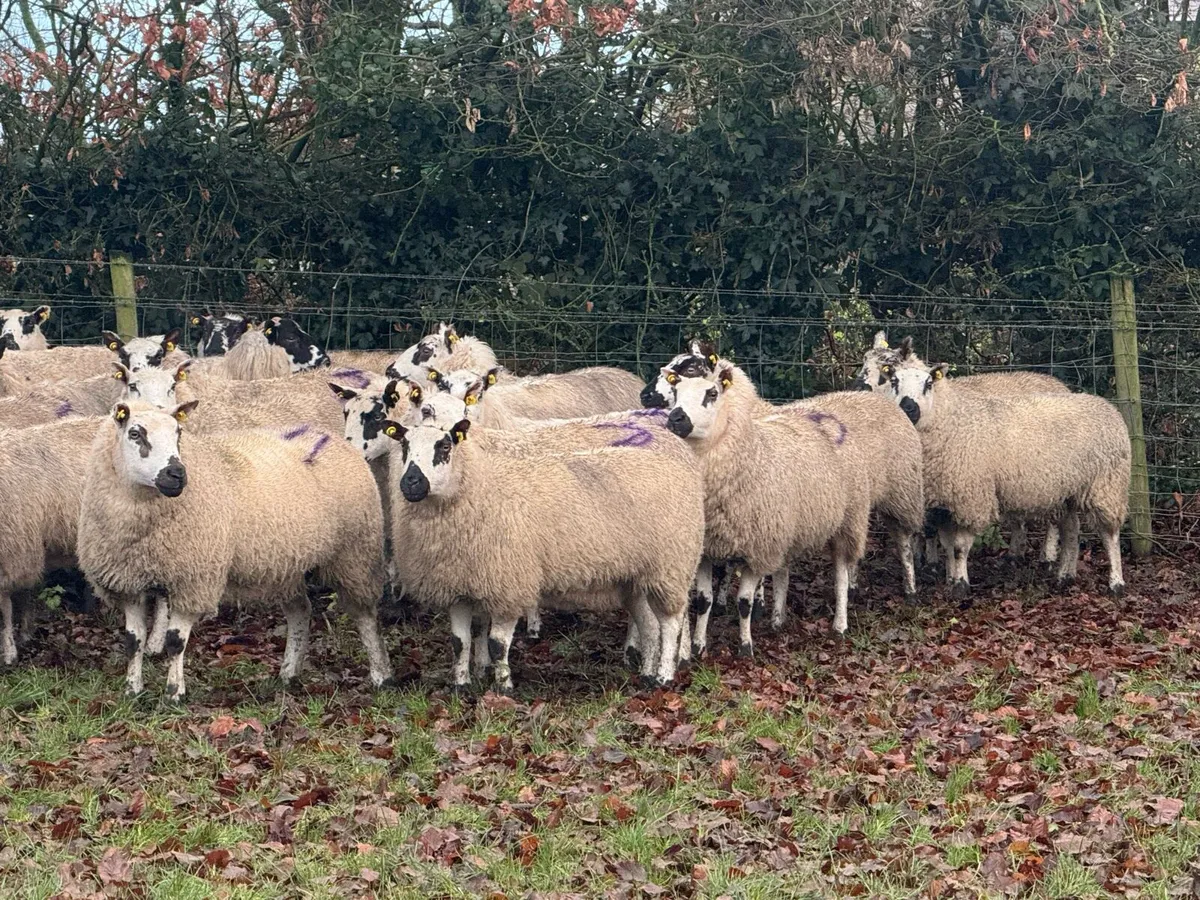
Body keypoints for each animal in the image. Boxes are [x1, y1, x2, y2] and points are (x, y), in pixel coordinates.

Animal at [75, 400, 394, 699]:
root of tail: (329, 436)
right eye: (135, 433)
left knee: (365, 615)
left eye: (179, 433)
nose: (177, 473)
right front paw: (132, 690)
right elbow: (133, 641)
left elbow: (175, 642)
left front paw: (174, 693)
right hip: (284, 565)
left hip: (355, 552)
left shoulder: (194, 581)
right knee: (300, 611)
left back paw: (381, 675)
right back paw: (289, 673)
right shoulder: (127, 583)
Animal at [380, 389, 704, 692]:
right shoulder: (459, 583)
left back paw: (665, 675)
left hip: (671, 565)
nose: (411, 482)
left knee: (672, 622)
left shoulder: (508, 583)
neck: (479, 485)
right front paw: (462, 685)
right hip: (636, 576)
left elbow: (497, 643)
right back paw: (646, 674)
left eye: (445, 447)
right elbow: (459, 641)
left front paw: (503, 686)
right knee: (650, 626)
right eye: (405, 445)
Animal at [660, 357, 872, 655]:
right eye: (676, 392)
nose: (675, 419)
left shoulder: (757, 549)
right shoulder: (708, 549)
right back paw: (778, 619)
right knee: (783, 573)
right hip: (788, 530)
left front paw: (745, 646)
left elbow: (744, 603)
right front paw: (700, 646)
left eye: (711, 394)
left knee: (840, 576)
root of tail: (825, 411)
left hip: (848, 521)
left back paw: (840, 625)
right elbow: (704, 600)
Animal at [855, 332, 1070, 562]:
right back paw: (1015, 552)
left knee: (1055, 516)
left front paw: (931, 560)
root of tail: (1056, 382)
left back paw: (1048, 556)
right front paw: (919, 554)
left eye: (888, 366)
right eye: (864, 360)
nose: (859, 386)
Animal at [887, 359, 1130, 597]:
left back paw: (1115, 583)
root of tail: (1106, 405)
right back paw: (1064, 576)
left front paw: (960, 586)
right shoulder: (943, 501)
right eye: (894, 382)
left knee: (1109, 535)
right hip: (1065, 491)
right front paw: (949, 578)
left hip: (1107, 485)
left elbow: (959, 547)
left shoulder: (972, 499)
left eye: (928, 384)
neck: (951, 419)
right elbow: (946, 544)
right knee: (1071, 530)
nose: (908, 408)